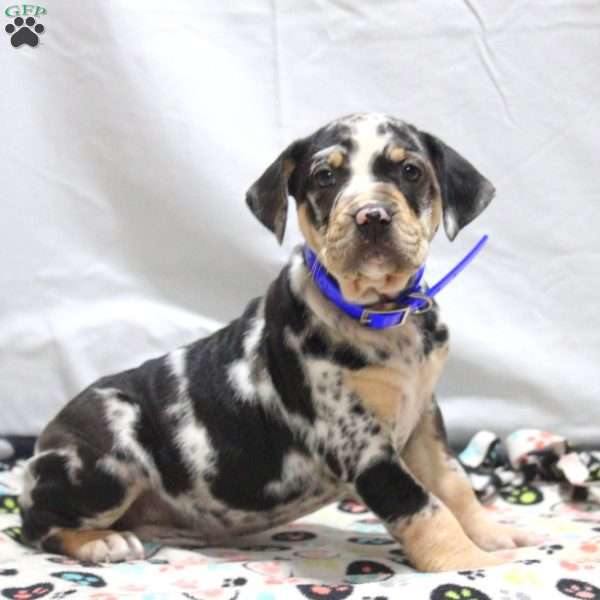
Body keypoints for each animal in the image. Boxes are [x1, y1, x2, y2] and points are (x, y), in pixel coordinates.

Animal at [19, 113, 540, 572]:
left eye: (410, 171)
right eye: (326, 176)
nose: (371, 216)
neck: (383, 317)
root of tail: (42, 446)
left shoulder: (423, 422)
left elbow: (454, 486)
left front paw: (494, 535)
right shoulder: (363, 447)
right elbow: (425, 508)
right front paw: (471, 564)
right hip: (109, 459)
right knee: (35, 525)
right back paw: (100, 542)